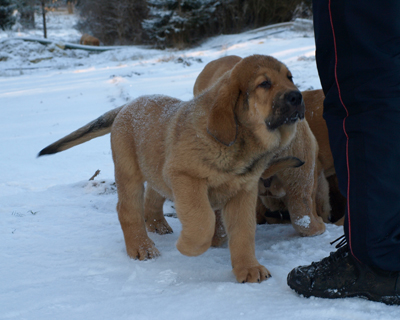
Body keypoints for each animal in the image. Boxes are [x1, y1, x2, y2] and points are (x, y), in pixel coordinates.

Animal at [39, 54, 304, 282]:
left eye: (290, 77)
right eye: (264, 83)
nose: (297, 97)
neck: (240, 145)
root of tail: (128, 105)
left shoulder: (243, 191)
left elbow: (243, 233)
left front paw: (248, 269)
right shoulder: (186, 178)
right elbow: (202, 220)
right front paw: (187, 247)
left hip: (157, 171)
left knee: (152, 198)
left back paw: (157, 224)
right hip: (129, 173)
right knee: (127, 210)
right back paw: (141, 247)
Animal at [194, 55, 328, 236]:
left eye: (290, 77)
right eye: (264, 83)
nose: (296, 97)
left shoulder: (302, 169)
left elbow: (302, 213)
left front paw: (316, 226)